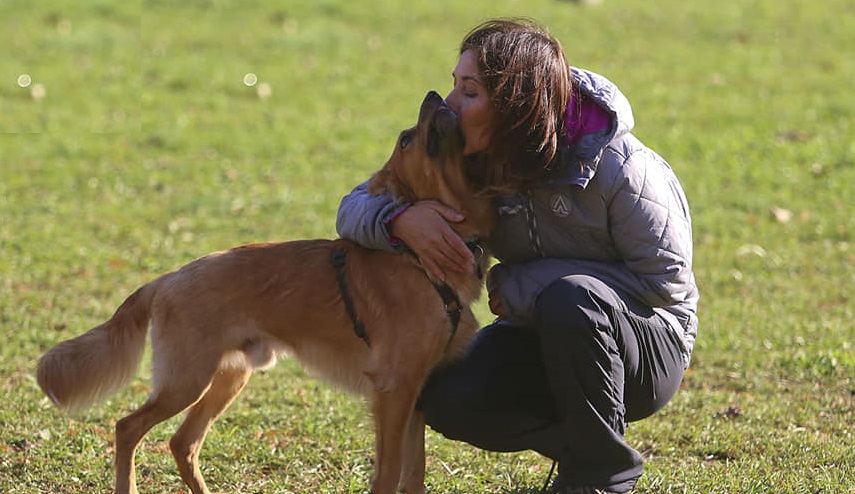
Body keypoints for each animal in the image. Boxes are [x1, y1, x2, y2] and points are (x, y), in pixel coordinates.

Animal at [36, 90, 494, 492]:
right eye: (406, 139)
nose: (435, 94)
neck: (417, 258)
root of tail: (166, 279)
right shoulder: (394, 390)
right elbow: (389, 473)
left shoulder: (418, 395)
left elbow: (413, 474)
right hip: (187, 380)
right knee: (128, 427)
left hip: (227, 377)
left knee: (183, 442)